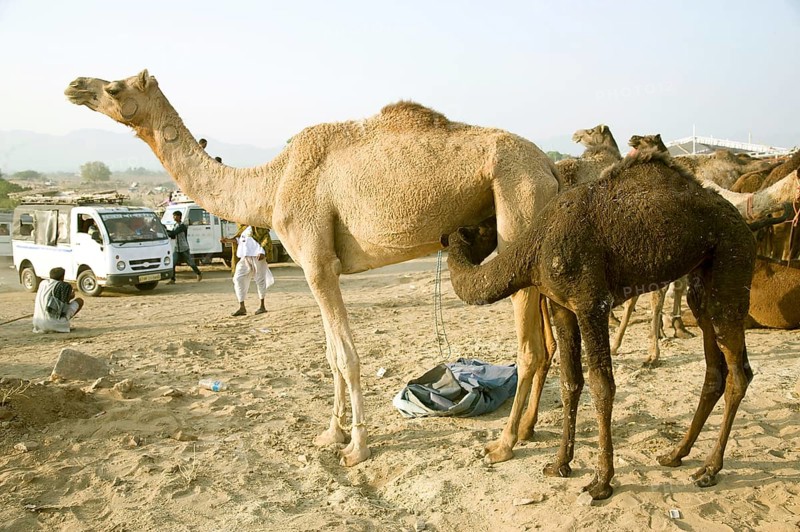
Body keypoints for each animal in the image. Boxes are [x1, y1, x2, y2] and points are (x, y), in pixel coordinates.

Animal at [64, 70, 560, 466]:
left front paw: (356, 448)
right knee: (549, 343)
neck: (272, 183)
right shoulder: (315, 269)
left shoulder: (318, 264)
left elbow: (346, 356)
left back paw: (504, 444)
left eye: (114, 86)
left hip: (518, 201)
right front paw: (331, 433)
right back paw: (528, 429)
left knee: (530, 349)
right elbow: (329, 355)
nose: (75, 85)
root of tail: (550, 169)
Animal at [442, 150, 756, 499]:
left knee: (739, 373)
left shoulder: (591, 303)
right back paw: (676, 454)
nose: (447, 234)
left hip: (733, 262)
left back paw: (710, 469)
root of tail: (742, 222)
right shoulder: (562, 306)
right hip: (704, 280)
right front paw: (559, 464)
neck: (536, 246)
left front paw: (601, 481)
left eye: (481, 226)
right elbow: (570, 381)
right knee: (715, 369)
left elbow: (602, 385)